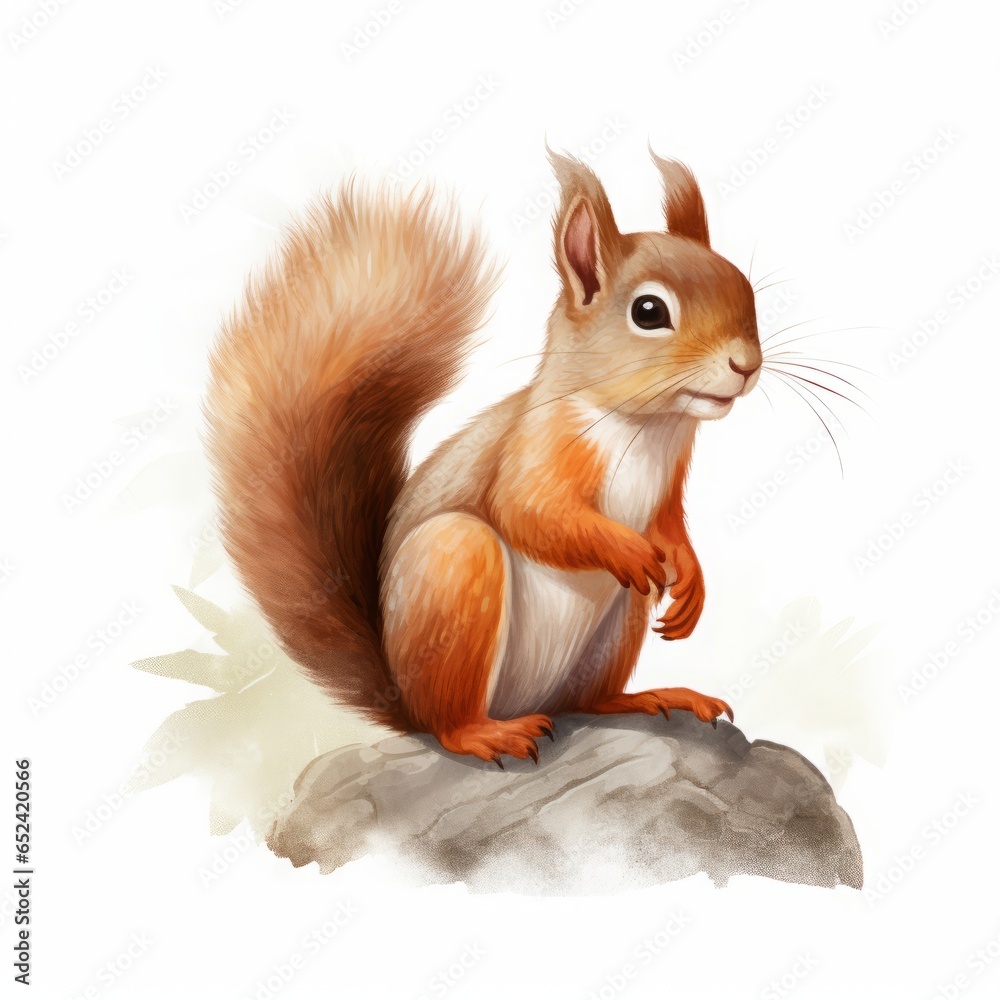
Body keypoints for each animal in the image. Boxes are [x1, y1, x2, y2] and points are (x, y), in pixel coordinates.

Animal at [204, 150, 761, 766]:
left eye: (745, 288)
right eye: (649, 311)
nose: (746, 365)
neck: (648, 425)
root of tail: (403, 702)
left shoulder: (670, 480)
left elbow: (668, 527)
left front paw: (689, 579)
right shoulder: (534, 449)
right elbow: (530, 513)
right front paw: (632, 552)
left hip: (612, 632)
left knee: (588, 700)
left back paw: (650, 697)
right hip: (455, 565)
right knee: (450, 719)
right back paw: (486, 734)